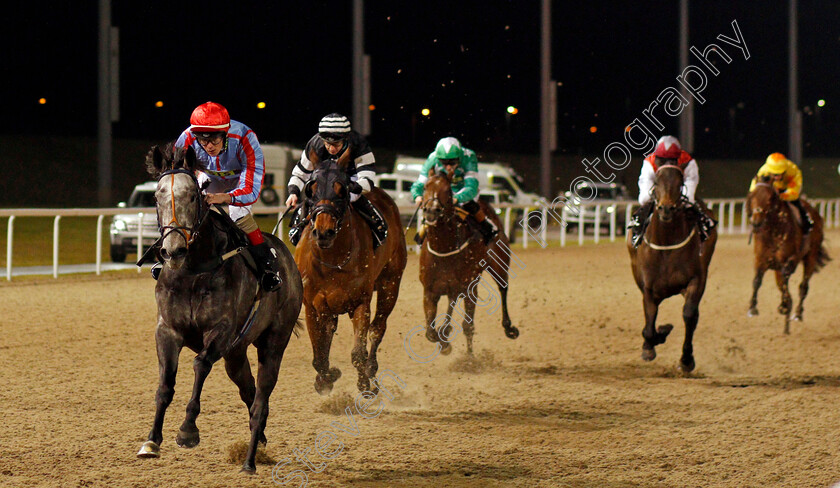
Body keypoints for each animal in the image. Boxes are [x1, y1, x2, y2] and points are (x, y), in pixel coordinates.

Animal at [138, 144, 306, 472]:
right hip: (236, 354)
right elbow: (165, 384)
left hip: (272, 343)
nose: (173, 250)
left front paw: (187, 431)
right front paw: (151, 441)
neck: (193, 270)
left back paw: (250, 460)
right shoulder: (167, 329)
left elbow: (200, 364)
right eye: (156, 197)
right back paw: (260, 438)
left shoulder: (222, 330)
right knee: (249, 390)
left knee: (261, 395)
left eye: (194, 195)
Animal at [294, 152, 406, 392]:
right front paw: (325, 379)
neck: (332, 261)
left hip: (390, 283)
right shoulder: (312, 306)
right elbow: (319, 356)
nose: (324, 232)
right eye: (311, 188)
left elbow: (357, 353)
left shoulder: (360, 303)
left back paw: (371, 370)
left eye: (341, 190)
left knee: (377, 328)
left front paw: (365, 385)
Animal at [420, 172, 520, 354]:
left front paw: (467, 356)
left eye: (448, 190)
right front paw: (444, 341)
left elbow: (464, 325)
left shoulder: (466, 287)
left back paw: (509, 328)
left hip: (499, 264)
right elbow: (430, 331)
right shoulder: (430, 291)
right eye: (425, 187)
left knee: (503, 288)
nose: (431, 210)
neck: (444, 250)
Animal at [628, 162, 720, 372]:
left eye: (679, 184)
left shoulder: (696, 279)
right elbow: (649, 324)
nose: (666, 209)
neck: (666, 243)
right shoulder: (648, 287)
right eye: (656, 182)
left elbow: (689, 315)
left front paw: (686, 360)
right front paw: (652, 342)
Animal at [744, 175, 832, 332]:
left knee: (803, 287)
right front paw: (752, 308)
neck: (773, 231)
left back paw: (797, 314)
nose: (756, 221)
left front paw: (785, 306)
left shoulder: (787, 261)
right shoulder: (761, 260)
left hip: (810, 256)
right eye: (752, 195)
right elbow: (757, 281)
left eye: (770, 198)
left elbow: (785, 283)